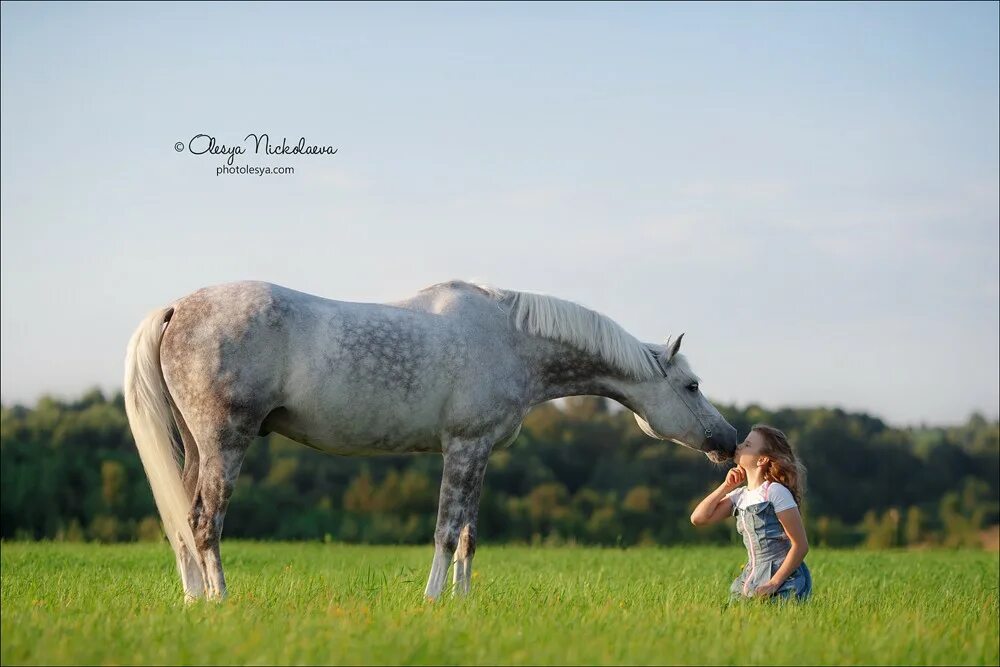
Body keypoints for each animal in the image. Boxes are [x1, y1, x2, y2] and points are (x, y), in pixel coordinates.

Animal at [123, 280, 736, 604]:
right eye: (691, 385)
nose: (728, 440)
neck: (511, 340)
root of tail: (176, 308)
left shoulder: (480, 452)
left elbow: (468, 534)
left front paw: (464, 603)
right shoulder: (462, 447)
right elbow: (445, 530)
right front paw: (434, 600)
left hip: (196, 448)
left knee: (182, 521)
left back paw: (193, 600)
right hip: (226, 442)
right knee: (205, 523)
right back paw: (221, 602)